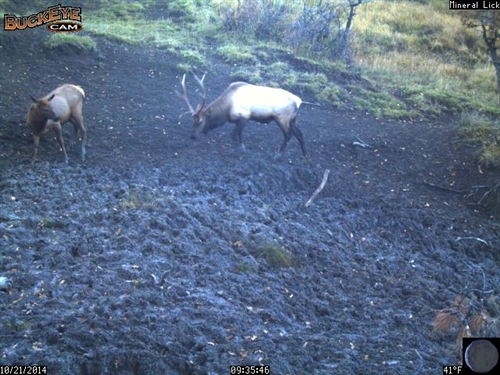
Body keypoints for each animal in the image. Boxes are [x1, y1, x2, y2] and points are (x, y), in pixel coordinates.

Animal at [178, 74, 306, 156]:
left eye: (200, 121)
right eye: (192, 121)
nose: (193, 136)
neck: (226, 110)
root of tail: (299, 101)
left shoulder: (245, 116)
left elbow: (235, 135)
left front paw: (241, 149)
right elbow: (236, 135)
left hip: (281, 118)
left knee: (288, 135)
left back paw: (278, 153)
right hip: (292, 119)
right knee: (299, 133)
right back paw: (304, 155)